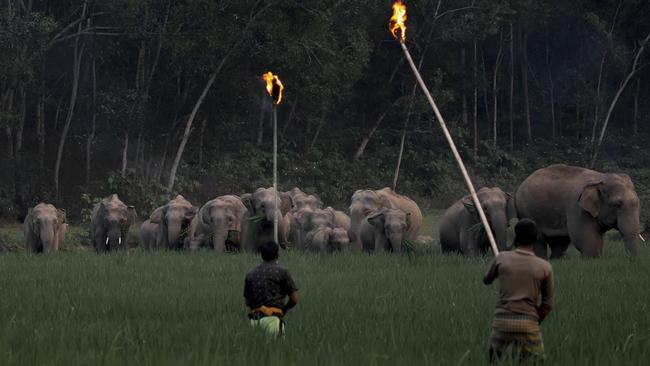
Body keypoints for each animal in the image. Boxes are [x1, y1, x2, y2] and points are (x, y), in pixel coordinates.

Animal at [512, 164, 640, 258]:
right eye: (617, 204)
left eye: (638, 204)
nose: (631, 260)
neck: (601, 177)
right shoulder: (577, 208)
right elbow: (585, 238)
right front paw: (592, 260)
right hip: (527, 211)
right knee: (538, 240)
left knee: (559, 243)